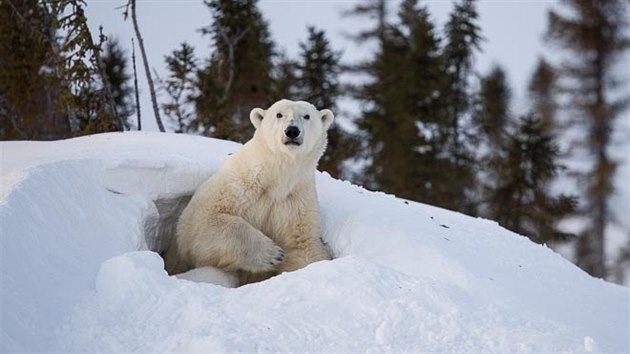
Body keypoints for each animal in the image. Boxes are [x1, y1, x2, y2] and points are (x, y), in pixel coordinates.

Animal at [165, 99, 336, 284]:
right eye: (279, 114)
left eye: (306, 116)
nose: (292, 131)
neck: (276, 180)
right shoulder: (239, 187)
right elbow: (204, 220)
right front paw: (273, 253)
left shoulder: (295, 201)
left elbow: (302, 246)